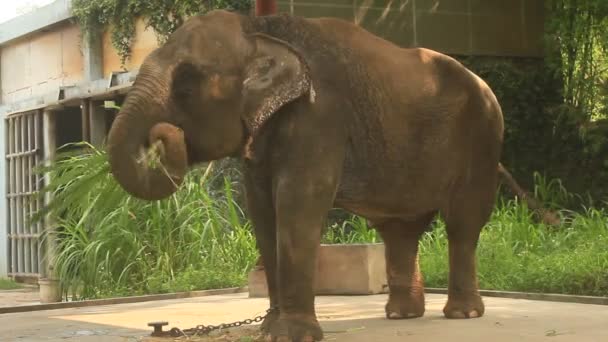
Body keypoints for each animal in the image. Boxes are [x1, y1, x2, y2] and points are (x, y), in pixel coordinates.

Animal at [108, 10, 504, 342]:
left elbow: (297, 202)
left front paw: (293, 335)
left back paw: (463, 315)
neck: (260, 30)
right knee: (400, 231)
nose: (162, 135)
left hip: (483, 138)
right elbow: (262, 211)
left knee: (462, 223)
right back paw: (401, 315)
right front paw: (270, 330)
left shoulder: (320, 115)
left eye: (186, 86)